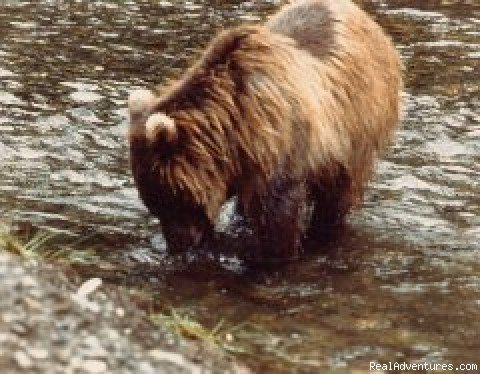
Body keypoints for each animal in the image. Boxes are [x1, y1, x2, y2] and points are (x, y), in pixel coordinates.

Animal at [127, 0, 402, 258]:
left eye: (171, 200)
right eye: (154, 204)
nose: (177, 245)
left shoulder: (283, 146)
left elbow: (278, 216)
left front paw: (272, 257)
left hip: (357, 126)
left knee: (338, 194)